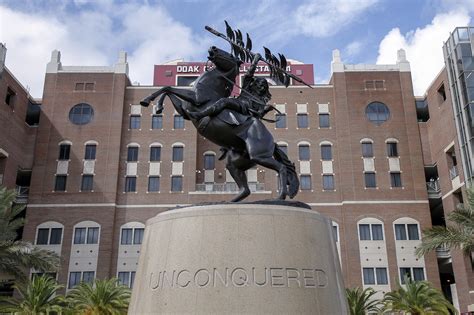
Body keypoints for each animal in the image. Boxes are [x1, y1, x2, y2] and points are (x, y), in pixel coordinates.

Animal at [139, 46, 298, 202]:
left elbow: (168, 88)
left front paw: (147, 101)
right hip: (236, 162)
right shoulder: (183, 111)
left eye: (230, 55)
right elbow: (167, 90)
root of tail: (273, 142)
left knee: (282, 168)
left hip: (259, 156)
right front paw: (156, 105)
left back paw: (280, 196)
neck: (210, 88)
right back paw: (231, 200)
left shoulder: (195, 99)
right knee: (245, 189)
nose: (213, 48)